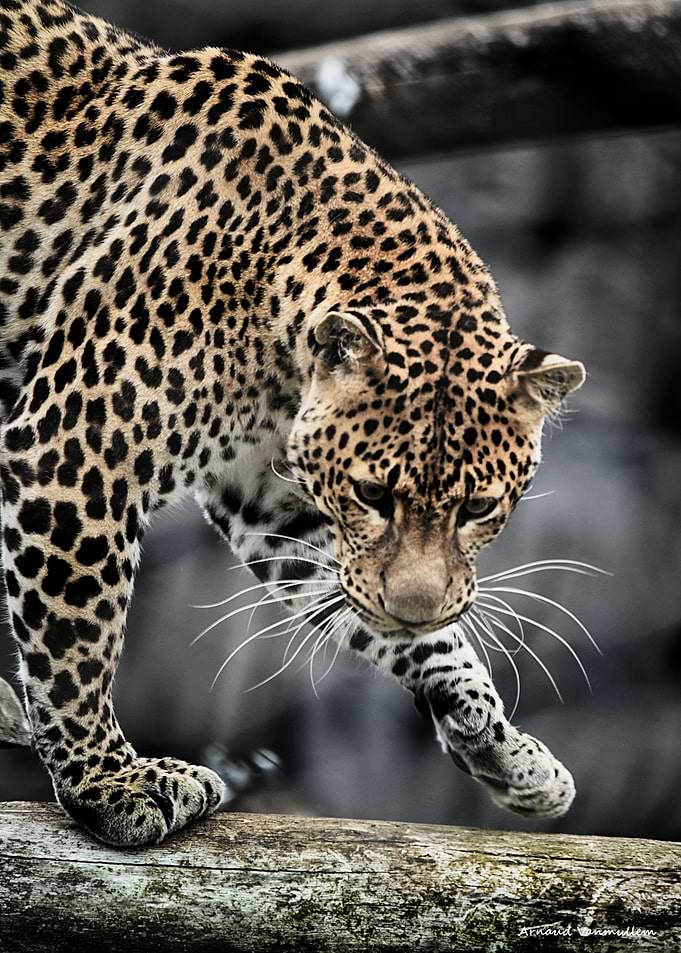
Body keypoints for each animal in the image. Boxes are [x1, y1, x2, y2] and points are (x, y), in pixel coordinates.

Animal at [0, 0, 586, 846]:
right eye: (374, 495)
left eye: (477, 507)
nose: (413, 608)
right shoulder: (78, 446)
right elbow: (76, 636)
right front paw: (108, 785)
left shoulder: (271, 498)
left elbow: (378, 608)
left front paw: (502, 745)